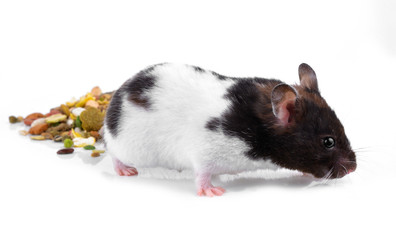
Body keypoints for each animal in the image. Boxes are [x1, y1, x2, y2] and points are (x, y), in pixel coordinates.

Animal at [103, 63, 358, 197]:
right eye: (328, 142)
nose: (353, 169)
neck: (260, 132)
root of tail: (119, 95)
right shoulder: (205, 152)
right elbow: (202, 175)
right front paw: (213, 192)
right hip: (129, 147)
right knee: (114, 155)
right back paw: (126, 171)